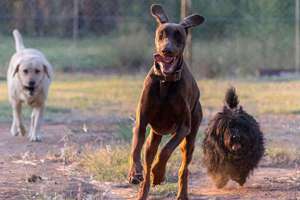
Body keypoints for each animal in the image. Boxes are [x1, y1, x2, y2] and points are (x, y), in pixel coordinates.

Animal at [127, 4, 205, 200]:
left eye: (179, 36)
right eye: (161, 34)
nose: (166, 50)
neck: (165, 80)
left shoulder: (183, 127)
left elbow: (166, 150)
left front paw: (159, 173)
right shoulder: (141, 123)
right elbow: (135, 150)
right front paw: (134, 173)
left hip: (189, 140)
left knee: (183, 169)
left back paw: (181, 194)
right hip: (152, 139)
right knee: (147, 164)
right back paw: (143, 190)